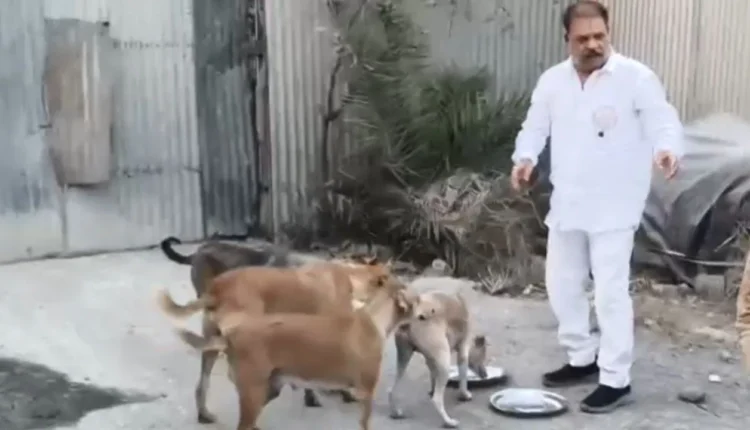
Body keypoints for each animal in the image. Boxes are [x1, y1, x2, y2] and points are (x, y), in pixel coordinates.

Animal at [388, 290, 488, 428]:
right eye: (483, 354)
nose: (486, 375)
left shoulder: (430, 359)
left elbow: (433, 373)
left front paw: (432, 388)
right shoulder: (462, 352)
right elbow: (463, 377)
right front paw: (465, 395)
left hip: (404, 356)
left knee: (392, 389)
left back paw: (396, 412)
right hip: (444, 361)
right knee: (437, 399)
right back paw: (449, 421)